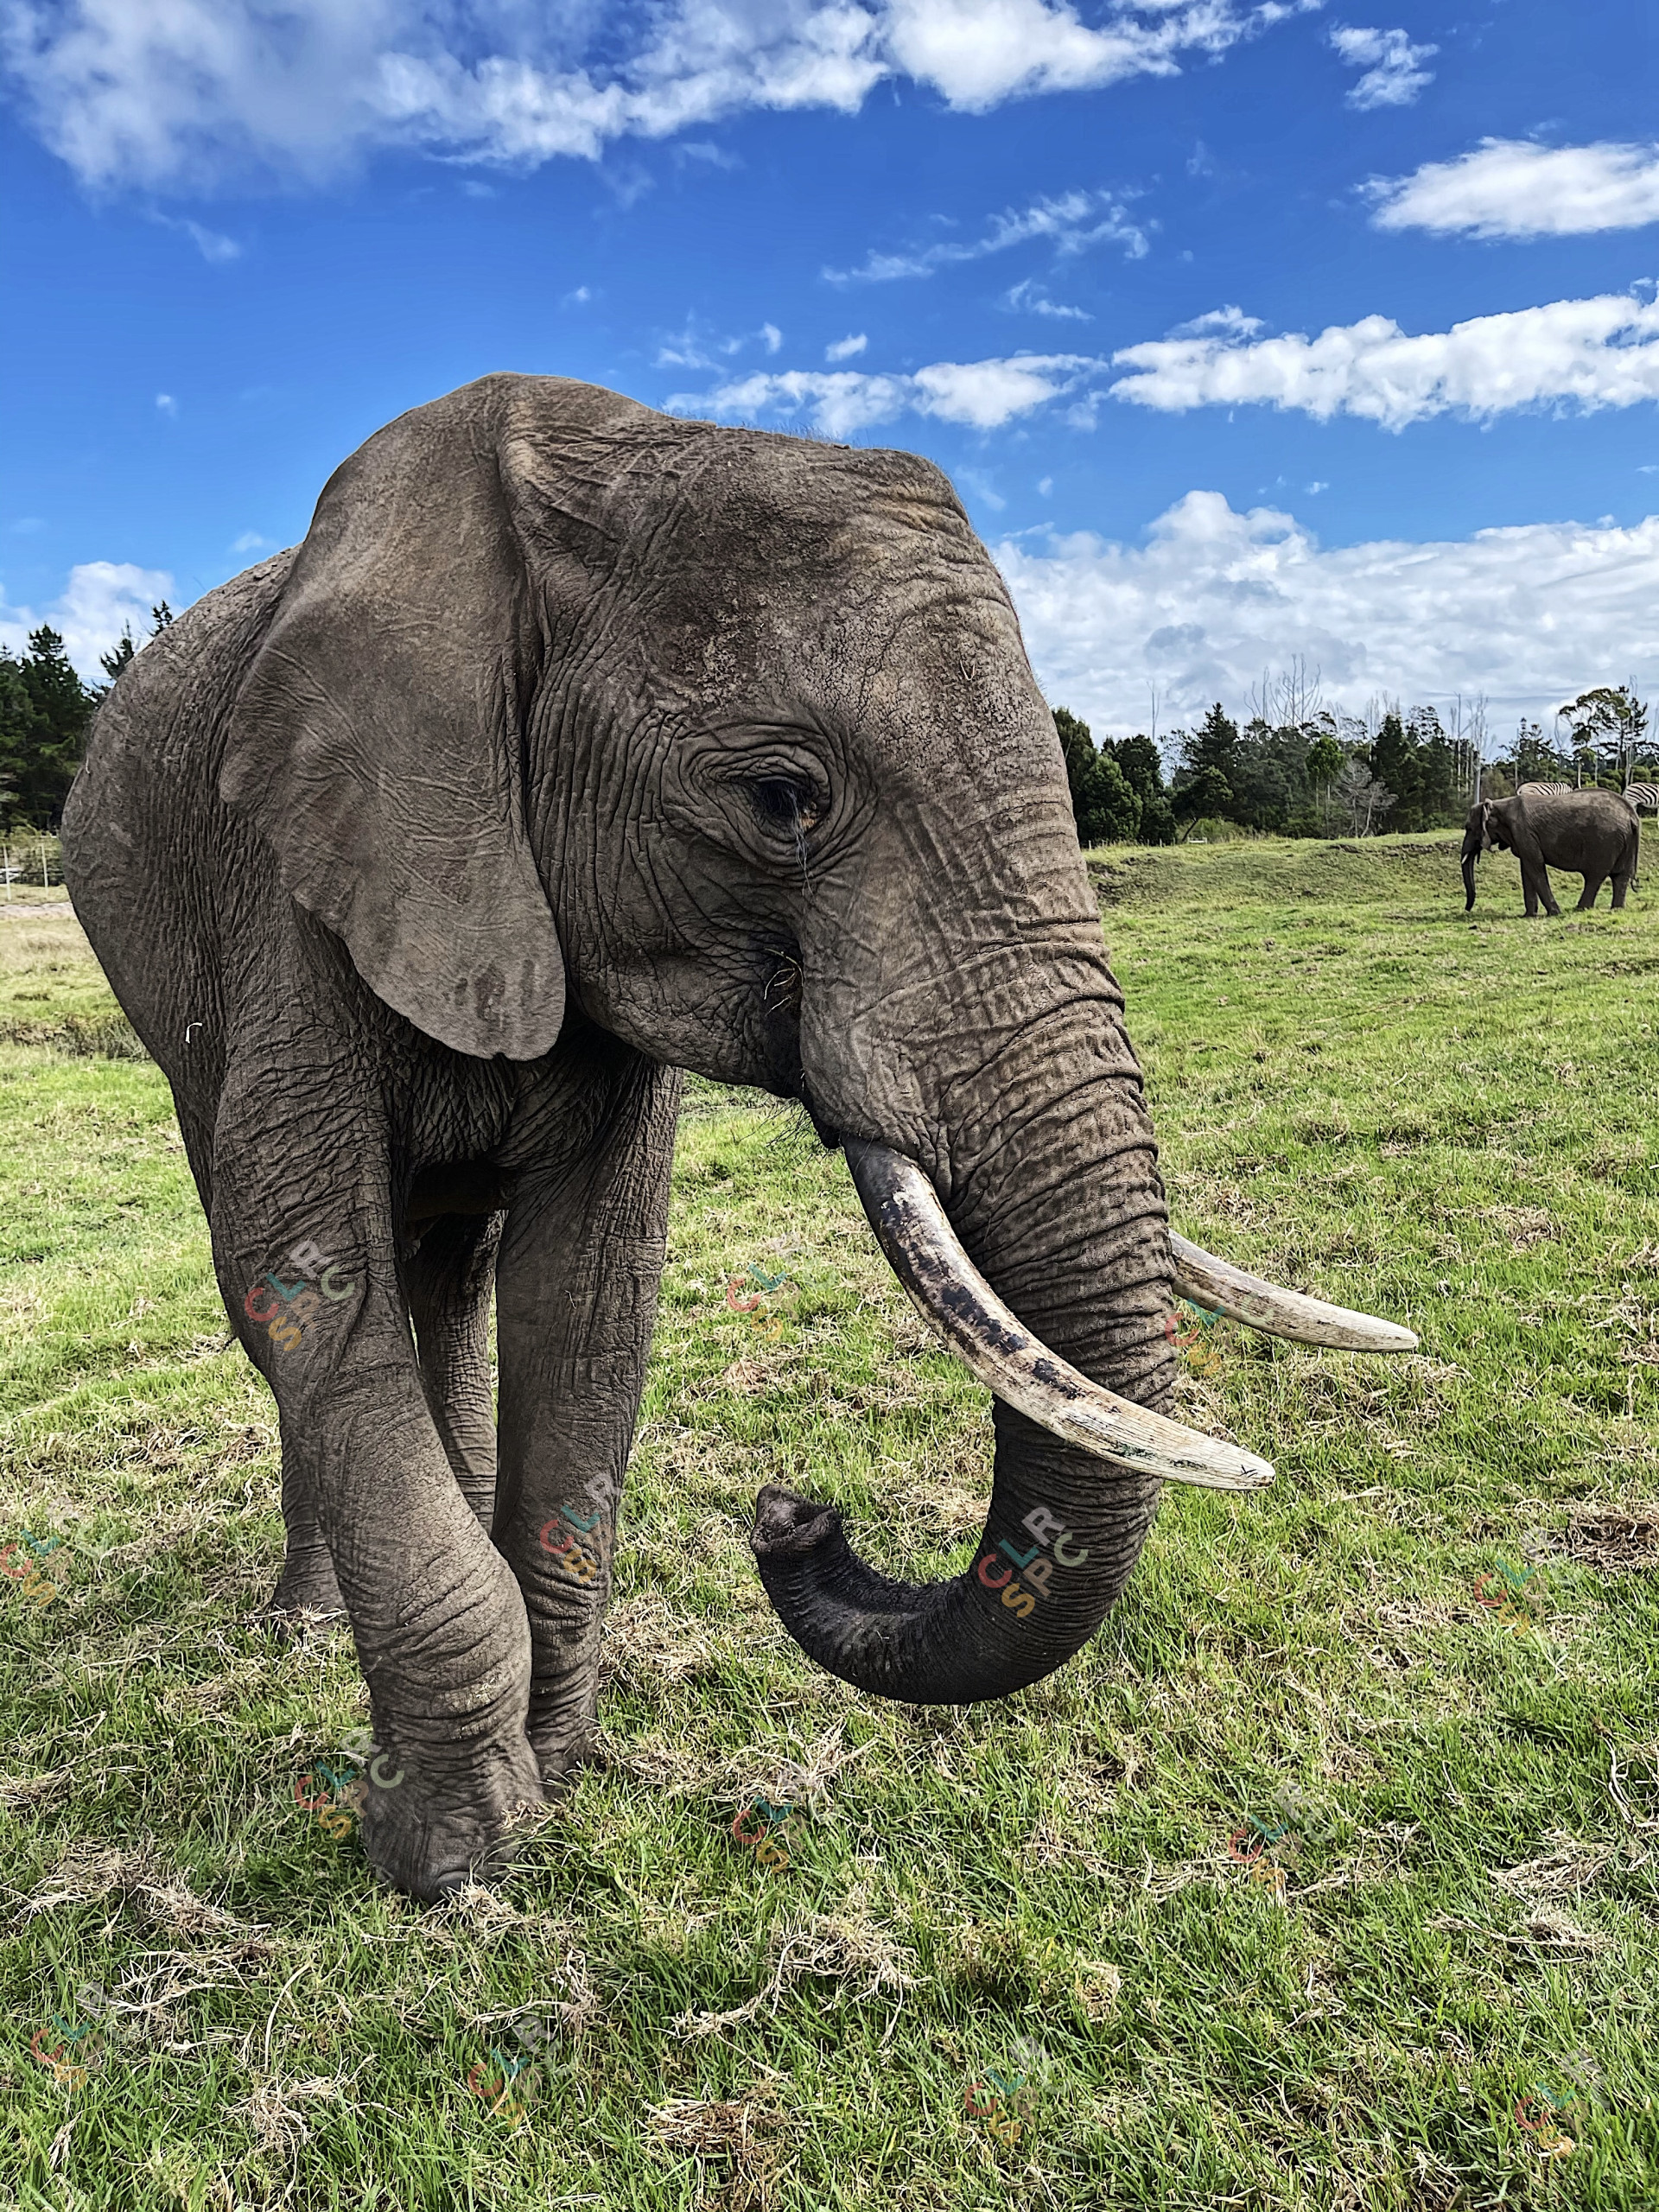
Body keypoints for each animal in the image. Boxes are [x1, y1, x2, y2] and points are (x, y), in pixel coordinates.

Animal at [62, 374, 1415, 1901]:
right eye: (782, 798)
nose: (794, 1511)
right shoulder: (298, 893)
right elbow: (306, 1284)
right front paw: (452, 1862)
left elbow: (588, 1300)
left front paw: (552, 1787)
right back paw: (300, 1625)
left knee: (448, 1271)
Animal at [1461, 787, 1640, 915]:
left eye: (1468, 828)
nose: (1467, 910)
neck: (1499, 804)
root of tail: (1632, 815)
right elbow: (1527, 870)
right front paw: (1529, 916)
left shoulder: (1524, 833)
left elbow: (1535, 866)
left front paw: (1554, 913)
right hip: (1624, 840)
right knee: (1621, 876)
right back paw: (1616, 909)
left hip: (1604, 841)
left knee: (1595, 876)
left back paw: (1580, 909)